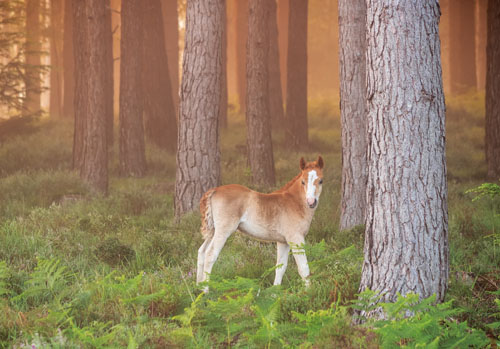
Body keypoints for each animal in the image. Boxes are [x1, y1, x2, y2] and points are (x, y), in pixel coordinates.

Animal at [195, 155, 324, 288]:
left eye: (321, 181)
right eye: (303, 181)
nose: (311, 202)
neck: (294, 202)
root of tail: (215, 190)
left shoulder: (283, 241)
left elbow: (280, 267)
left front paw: (275, 290)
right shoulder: (296, 239)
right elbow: (304, 268)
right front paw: (309, 291)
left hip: (213, 231)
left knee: (201, 252)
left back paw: (198, 287)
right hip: (223, 231)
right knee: (210, 254)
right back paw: (205, 290)